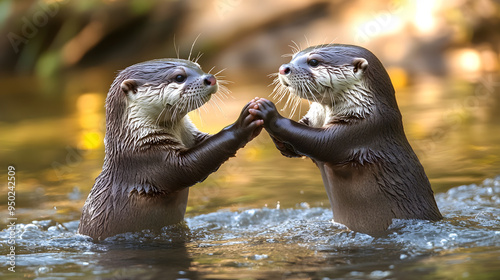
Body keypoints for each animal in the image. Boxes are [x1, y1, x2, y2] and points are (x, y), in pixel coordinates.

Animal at [77, 59, 262, 241]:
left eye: (198, 67)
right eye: (179, 77)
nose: (210, 78)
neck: (133, 141)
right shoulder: (148, 159)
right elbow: (189, 168)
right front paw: (241, 125)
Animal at [249, 44, 442, 235]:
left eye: (314, 62)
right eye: (293, 57)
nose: (283, 68)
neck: (363, 108)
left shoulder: (361, 129)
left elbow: (317, 142)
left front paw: (269, 112)